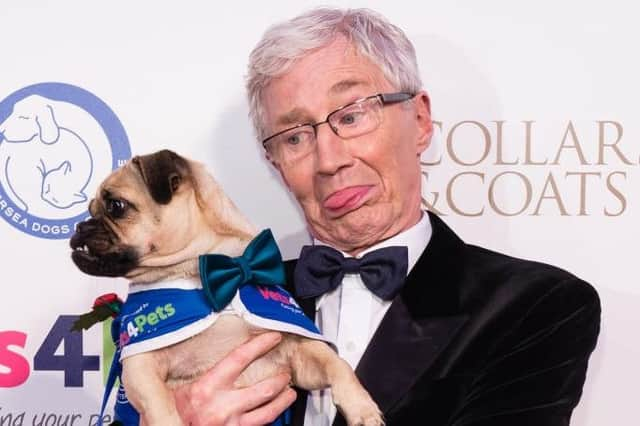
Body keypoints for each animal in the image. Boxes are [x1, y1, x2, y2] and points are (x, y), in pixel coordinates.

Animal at [69, 150, 382, 426]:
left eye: (116, 206)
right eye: (91, 210)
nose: (80, 227)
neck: (209, 272)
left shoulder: (297, 355)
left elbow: (336, 364)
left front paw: (362, 408)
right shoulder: (141, 367)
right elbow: (161, 408)